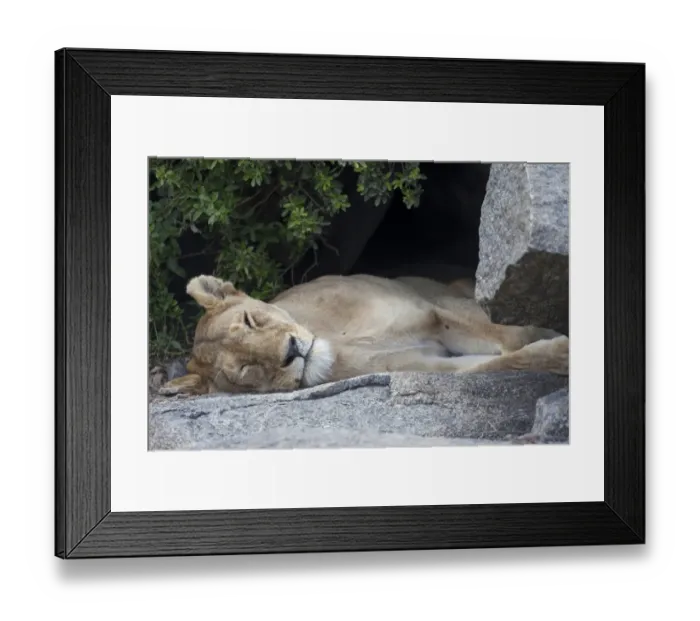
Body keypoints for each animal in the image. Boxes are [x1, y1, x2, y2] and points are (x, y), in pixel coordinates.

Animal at [160, 273, 569, 396]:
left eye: (249, 321)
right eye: (245, 370)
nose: (291, 351)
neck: (337, 339)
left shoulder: (435, 307)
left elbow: (507, 335)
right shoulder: (430, 366)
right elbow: (502, 364)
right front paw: (562, 353)